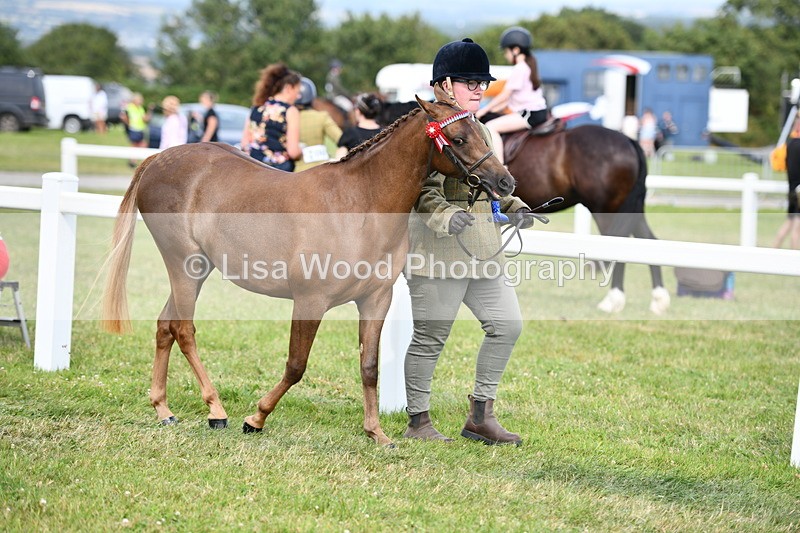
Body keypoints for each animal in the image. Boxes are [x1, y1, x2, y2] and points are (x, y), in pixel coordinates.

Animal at [101, 96, 515, 446]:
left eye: (481, 131)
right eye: (458, 138)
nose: (505, 181)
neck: (359, 204)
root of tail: (157, 160)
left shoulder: (376, 300)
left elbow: (370, 366)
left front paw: (376, 432)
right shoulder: (310, 301)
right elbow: (296, 365)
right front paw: (256, 418)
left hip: (196, 269)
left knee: (165, 325)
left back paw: (163, 409)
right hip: (184, 266)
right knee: (183, 330)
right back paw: (216, 410)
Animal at [504, 125, 670, 315]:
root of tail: (628, 140)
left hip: (606, 211)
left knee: (618, 245)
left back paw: (612, 300)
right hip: (630, 211)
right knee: (649, 241)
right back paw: (658, 299)